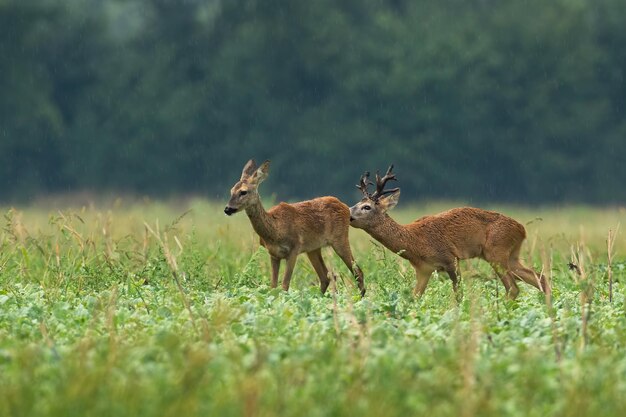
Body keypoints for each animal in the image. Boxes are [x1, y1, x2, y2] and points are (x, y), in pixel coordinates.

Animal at [223, 158, 364, 296]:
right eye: (231, 191)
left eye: (243, 192)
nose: (227, 209)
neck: (275, 230)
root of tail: (345, 207)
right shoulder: (273, 254)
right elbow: (273, 286)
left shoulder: (294, 249)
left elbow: (285, 285)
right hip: (313, 248)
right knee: (325, 276)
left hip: (340, 238)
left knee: (357, 271)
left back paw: (360, 297)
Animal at [348, 164, 548, 298]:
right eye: (356, 203)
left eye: (366, 207)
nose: (348, 214)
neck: (414, 241)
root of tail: (521, 229)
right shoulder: (424, 269)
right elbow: (415, 296)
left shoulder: (450, 258)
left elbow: (458, 294)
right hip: (510, 255)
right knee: (540, 277)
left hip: (496, 252)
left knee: (513, 287)